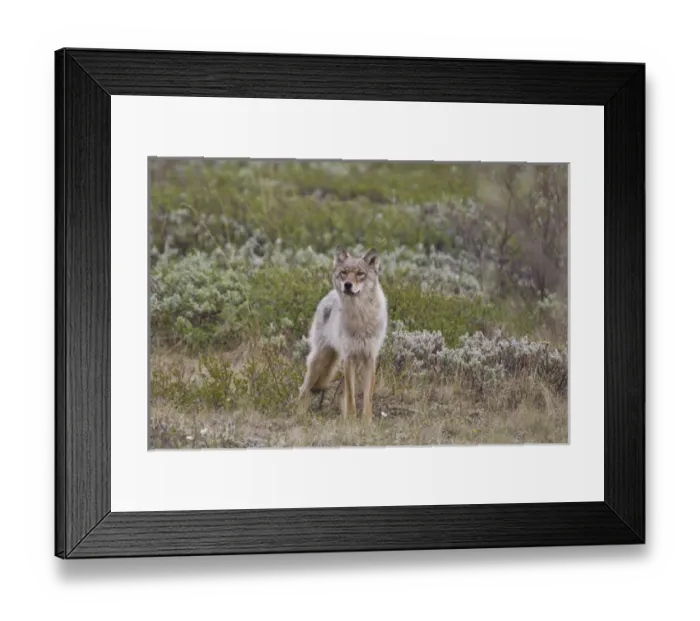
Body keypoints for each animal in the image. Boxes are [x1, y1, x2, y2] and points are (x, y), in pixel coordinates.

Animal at [298, 246, 388, 421]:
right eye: (344, 273)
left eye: (360, 273)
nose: (347, 285)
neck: (360, 317)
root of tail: (328, 295)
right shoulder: (349, 357)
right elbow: (351, 396)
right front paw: (352, 420)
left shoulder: (370, 358)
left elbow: (367, 397)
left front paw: (367, 422)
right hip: (321, 359)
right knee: (304, 388)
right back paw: (300, 415)